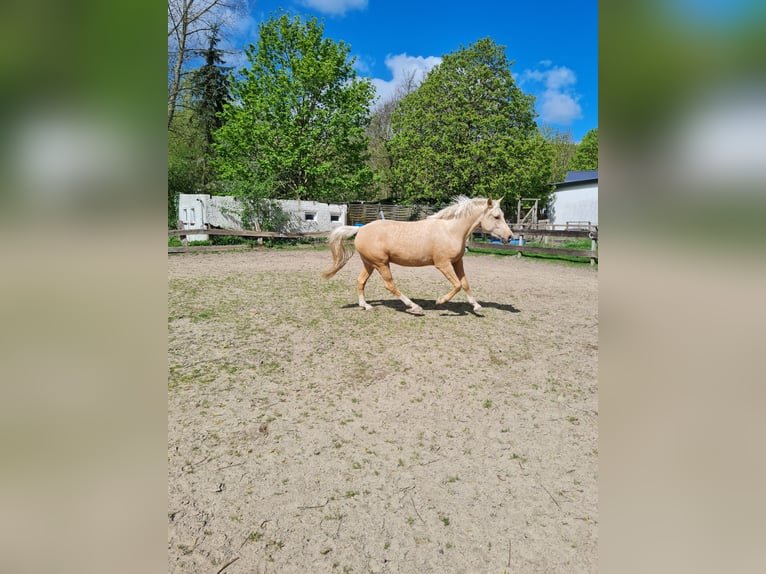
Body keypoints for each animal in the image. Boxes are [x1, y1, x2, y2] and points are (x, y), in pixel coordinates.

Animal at [320, 198, 512, 316]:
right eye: (497, 216)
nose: (509, 237)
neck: (451, 230)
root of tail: (360, 229)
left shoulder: (458, 262)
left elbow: (464, 283)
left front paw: (477, 306)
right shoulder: (443, 264)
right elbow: (457, 285)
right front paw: (440, 301)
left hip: (370, 263)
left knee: (360, 281)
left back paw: (366, 306)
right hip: (381, 263)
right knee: (389, 285)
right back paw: (415, 307)